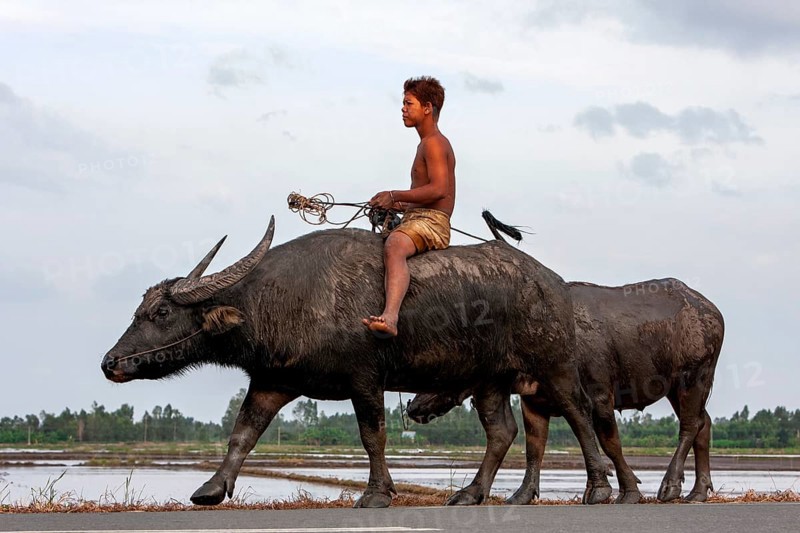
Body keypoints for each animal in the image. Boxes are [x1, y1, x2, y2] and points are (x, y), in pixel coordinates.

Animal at [101, 217, 614, 507]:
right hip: (487, 377)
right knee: (502, 431)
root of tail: (553, 282)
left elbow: (373, 436)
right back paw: (469, 494)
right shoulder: (271, 381)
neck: (283, 299)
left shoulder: (365, 378)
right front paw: (210, 489)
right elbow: (242, 434)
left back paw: (599, 488)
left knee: (578, 413)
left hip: (553, 363)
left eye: (161, 313)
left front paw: (375, 494)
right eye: (140, 309)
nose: (110, 362)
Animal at [408, 278, 724, 503]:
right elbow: (534, 448)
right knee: (704, 424)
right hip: (676, 388)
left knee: (690, 425)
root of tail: (711, 312)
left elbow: (609, 442)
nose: (412, 406)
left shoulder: (599, 395)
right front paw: (522, 494)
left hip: (693, 378)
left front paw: (626, 492)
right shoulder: (533, 402)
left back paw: (670, 486)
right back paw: (698, 491)